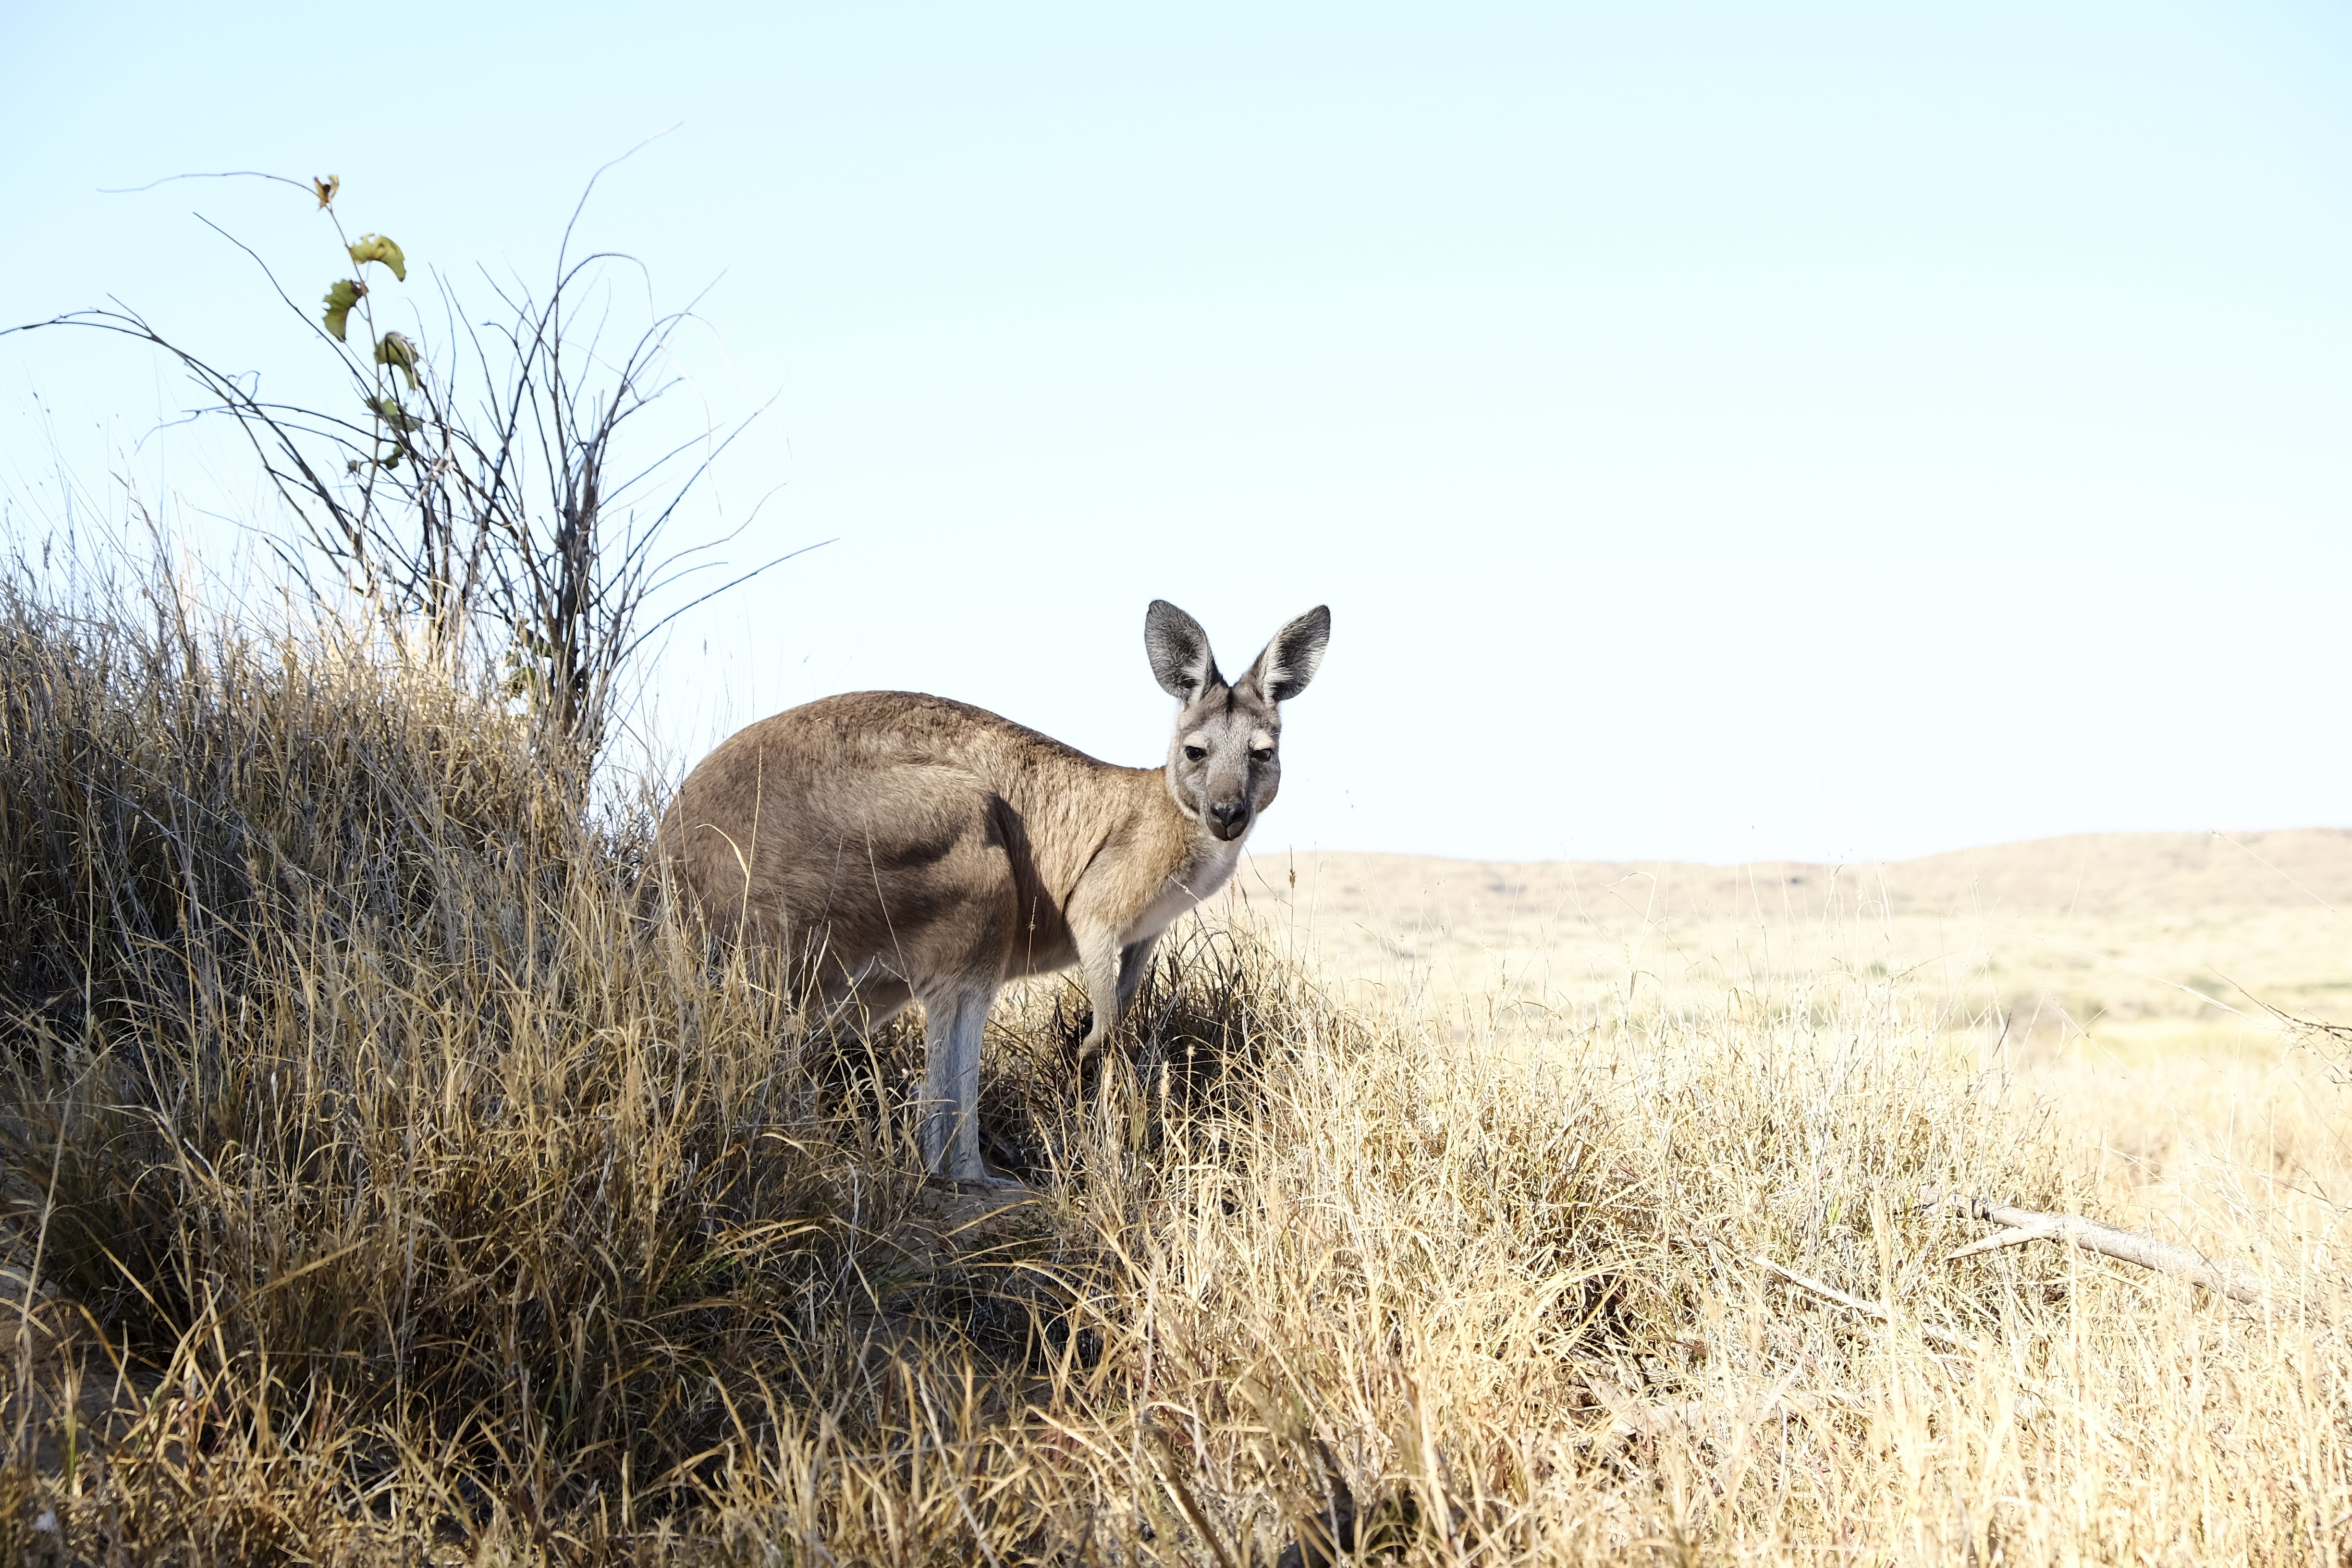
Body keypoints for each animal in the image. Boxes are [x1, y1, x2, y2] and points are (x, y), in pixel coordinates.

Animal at [640, 600, 1331, 1187]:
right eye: (1195, 752)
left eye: (1262, 754)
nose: (1228, 814)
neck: (1168, 810)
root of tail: (671, 885)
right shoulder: (1097, 906)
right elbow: (1111, 1027)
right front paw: (1093, 1078)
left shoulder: (1146, 934)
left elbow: (1126, 1005)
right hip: (966, 857)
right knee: (950, 1042)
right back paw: (984, 1181)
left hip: (856, 982)